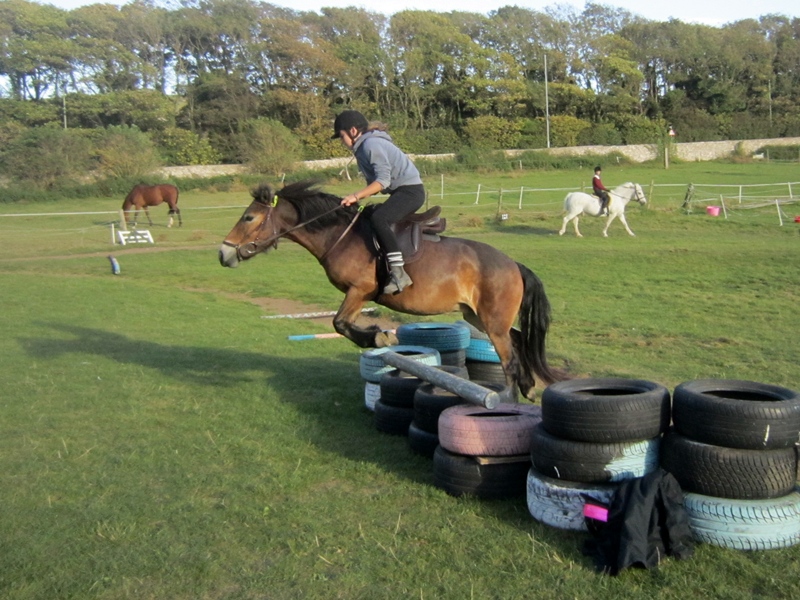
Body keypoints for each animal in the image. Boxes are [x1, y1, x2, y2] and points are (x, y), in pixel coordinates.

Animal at [219, 180, 566, 400]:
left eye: (248, 217)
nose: (223, 254)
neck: (340, 236)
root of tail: (513, 264)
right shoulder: (358, 294)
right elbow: (342, 324)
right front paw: (379, 335)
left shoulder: (360, 290)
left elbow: (339, 323)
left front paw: (379, 336)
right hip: (478, 316)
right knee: (518, 339)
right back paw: (527, 386)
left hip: (492, 322)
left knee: (508, 358)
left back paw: (508, 397)